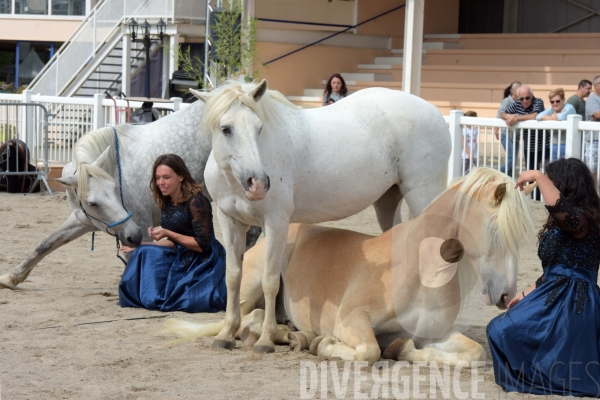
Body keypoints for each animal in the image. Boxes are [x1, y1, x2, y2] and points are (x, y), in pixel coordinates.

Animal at [0, 99, 262, 290]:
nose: (133, 234)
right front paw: (12, 277)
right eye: (92, 203)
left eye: (116, 189)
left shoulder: (143, 226)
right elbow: (46, 244)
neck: (117, 165)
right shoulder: (85, 221)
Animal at [164, 168, 536, 366]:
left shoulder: (431, 334)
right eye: (495, 230)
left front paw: (401, 349)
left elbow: (473, 352)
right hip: (253, 282)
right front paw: (324, 345)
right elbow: (369, 350)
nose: (507, 295)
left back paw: (291, 334)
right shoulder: (352, 320)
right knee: (245, 316)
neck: (421, 271)